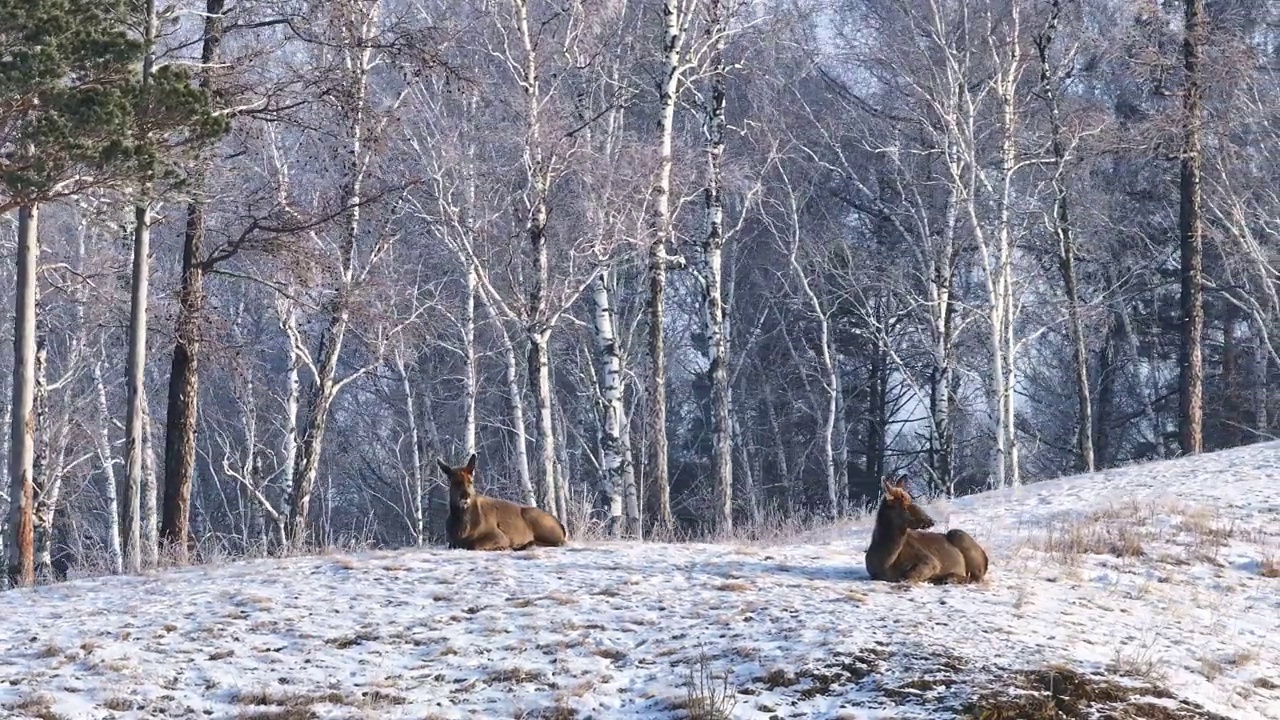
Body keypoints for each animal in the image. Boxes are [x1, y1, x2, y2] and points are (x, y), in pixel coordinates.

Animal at [435, 453, 565, 548]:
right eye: (454, 482)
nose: (465, 496)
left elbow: (474, 544)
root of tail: (561, 527)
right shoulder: (451, 541)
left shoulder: (499, 535)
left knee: (560, 542)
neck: (462, 528)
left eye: (470, 481)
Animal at [860, 476, 988, 584]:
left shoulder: (930, 560)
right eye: (905, 507)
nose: (930, 520)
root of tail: (985, 558)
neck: (886, 562)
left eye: (910, 500)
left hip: (959, 536)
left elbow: (907, 575)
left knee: (976, 577)